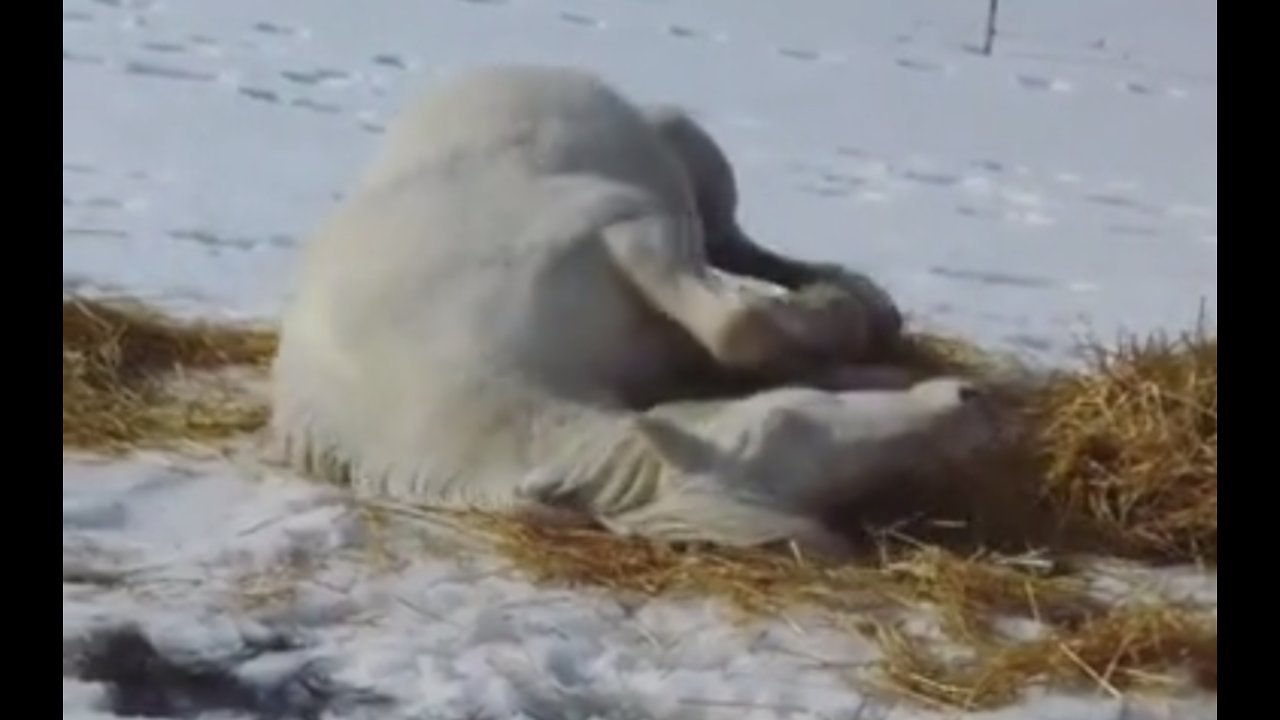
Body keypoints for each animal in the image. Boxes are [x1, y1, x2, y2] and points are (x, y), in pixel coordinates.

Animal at [267, 64, 988, 556]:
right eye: (782, 423)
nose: (966, 402)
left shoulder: (634, 228)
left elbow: (739, 327)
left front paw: (852, 326)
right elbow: (753, 350)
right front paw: (865, 363)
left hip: (694, 165)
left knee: (739, 246)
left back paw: (858, 297)